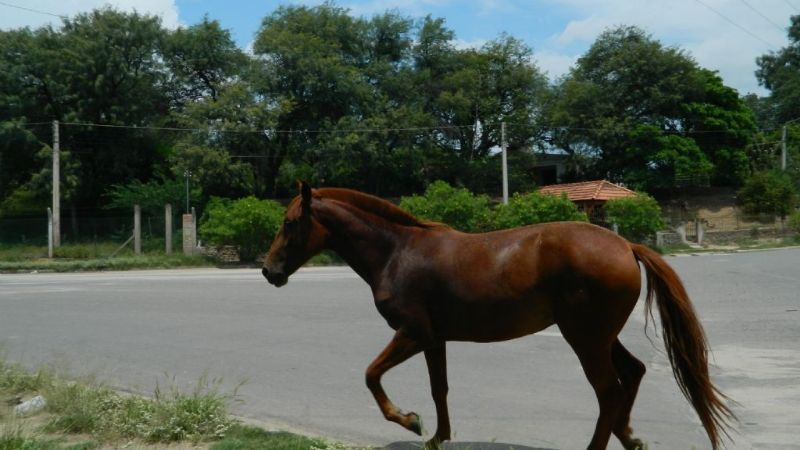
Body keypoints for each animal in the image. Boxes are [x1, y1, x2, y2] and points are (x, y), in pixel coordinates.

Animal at [261, 182, 734, 450]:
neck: (398, 252)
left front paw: (409, 421)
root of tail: (625, 245)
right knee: (632, 374)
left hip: (584, 338)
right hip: (599, 336)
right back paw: (629, 436)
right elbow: (439, 389)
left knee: (609, 392)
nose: (269, 272)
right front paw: (436, 436)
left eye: (290, 223)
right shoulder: (434, 339)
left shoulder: (411, 333)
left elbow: (371, 374)